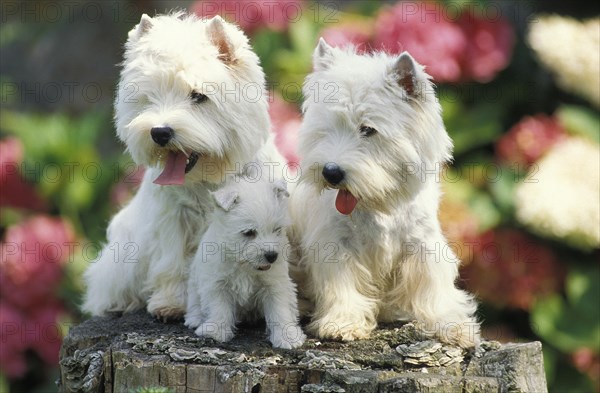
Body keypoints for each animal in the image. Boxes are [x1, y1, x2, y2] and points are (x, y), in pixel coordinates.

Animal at [82, 13, 286, 318]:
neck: (208, 178)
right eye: (149, 96)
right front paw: (171, 303)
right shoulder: (172, 218)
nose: (159, 132)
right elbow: (172, 262)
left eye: (198, 96)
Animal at [288, 39, 480, 346]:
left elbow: (434, 287)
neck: (378, 203)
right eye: (327, 128)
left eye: (368, 129)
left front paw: (452, 325)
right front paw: (343, 323)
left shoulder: (423, 244)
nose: (331, 172)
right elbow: (342, 284)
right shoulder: (335, 243)